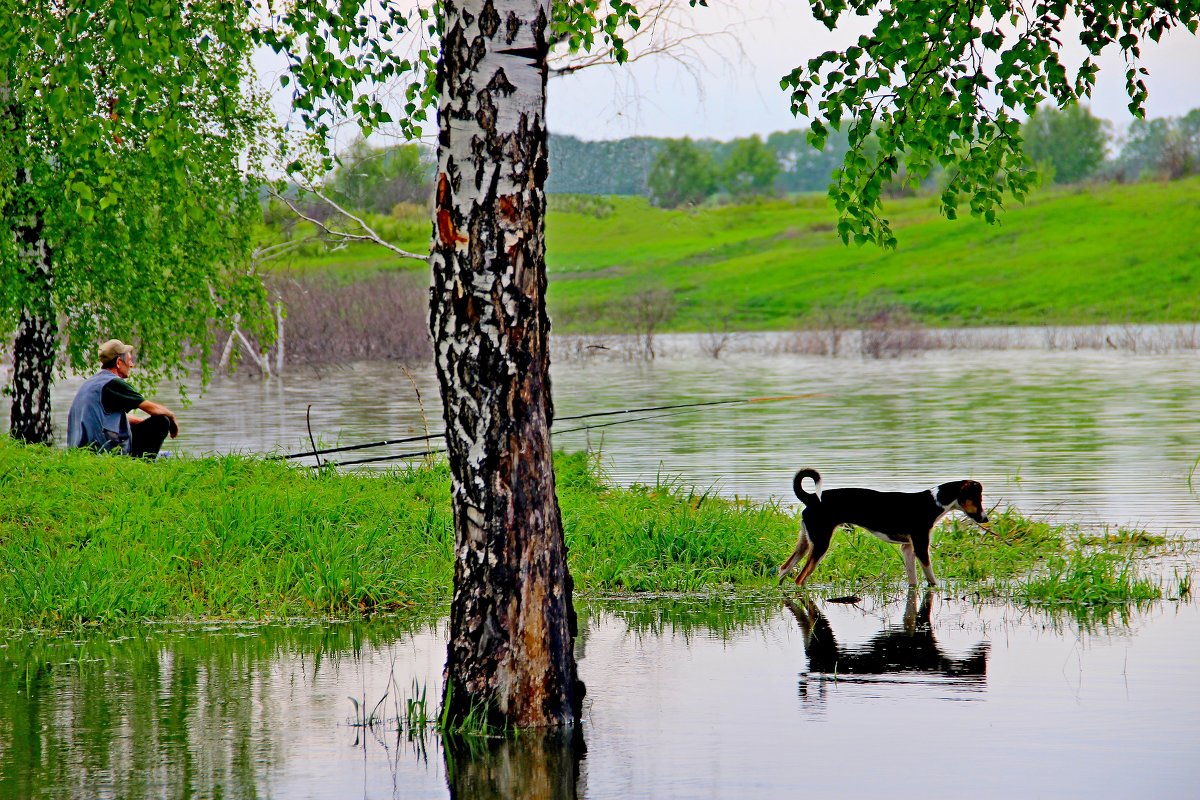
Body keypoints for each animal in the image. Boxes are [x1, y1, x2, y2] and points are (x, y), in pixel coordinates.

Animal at [782, 470, 988, 587]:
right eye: (976, 499)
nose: (985, 519)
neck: (933, 502)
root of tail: (811, 499)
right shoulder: (921, 547)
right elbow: (931, 579)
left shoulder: (908, 548)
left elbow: (913, 581)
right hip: (820, 545)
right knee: (800, 579)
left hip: (805, 544)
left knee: (783, 569)